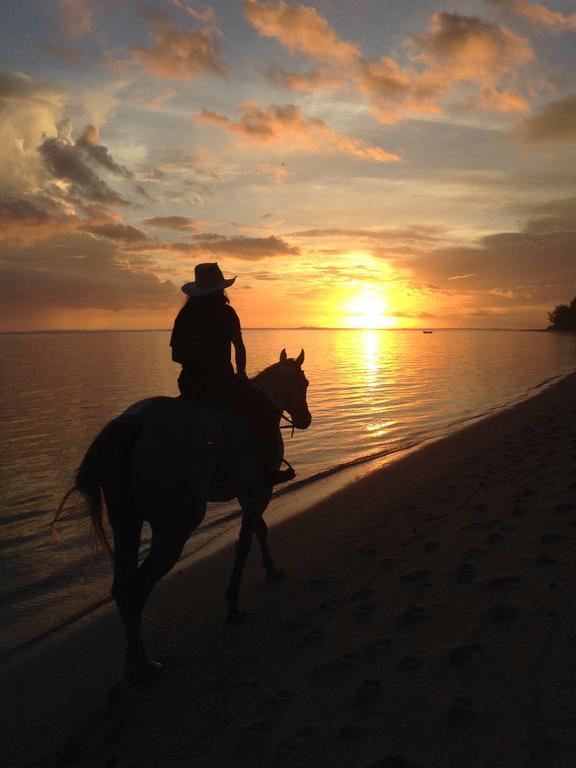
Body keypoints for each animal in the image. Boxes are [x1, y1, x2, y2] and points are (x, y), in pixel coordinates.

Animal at [55, 348, 310, 684]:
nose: (306, 419)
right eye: (304, 384)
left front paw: (270, 569)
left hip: (126, 520)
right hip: (176, 525)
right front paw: (233, 603)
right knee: (139, 584)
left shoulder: (248, 492)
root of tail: (134, 423)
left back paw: (134, 662)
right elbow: (245, 542)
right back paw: (145, 663)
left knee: (122, 587)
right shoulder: (258, 491)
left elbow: (260, 530)